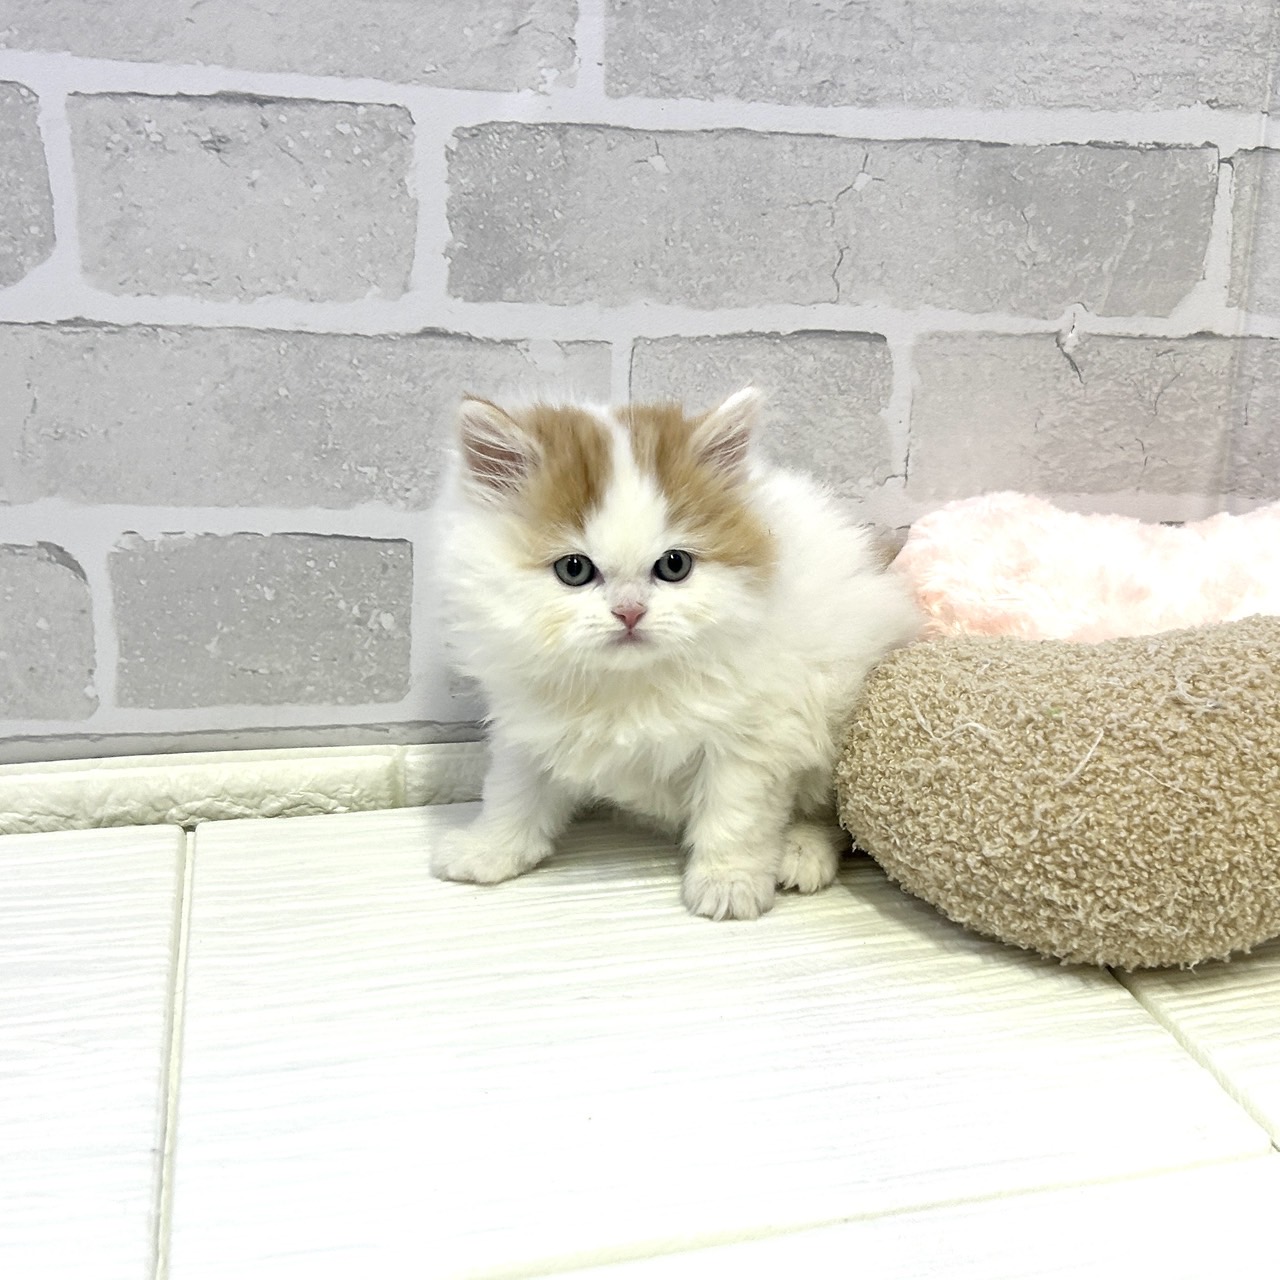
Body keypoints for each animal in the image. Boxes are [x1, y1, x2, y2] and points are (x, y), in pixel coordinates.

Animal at [431, 387, 921, 920]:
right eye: (574, 569)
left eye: (673, 566)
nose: (629, 612)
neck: (626, 684)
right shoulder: (528, 724)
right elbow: (513, 791)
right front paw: (490, 850)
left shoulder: (756, 736)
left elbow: (735, 817)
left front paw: (729, 883)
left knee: (834, 819)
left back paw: (800, 850)